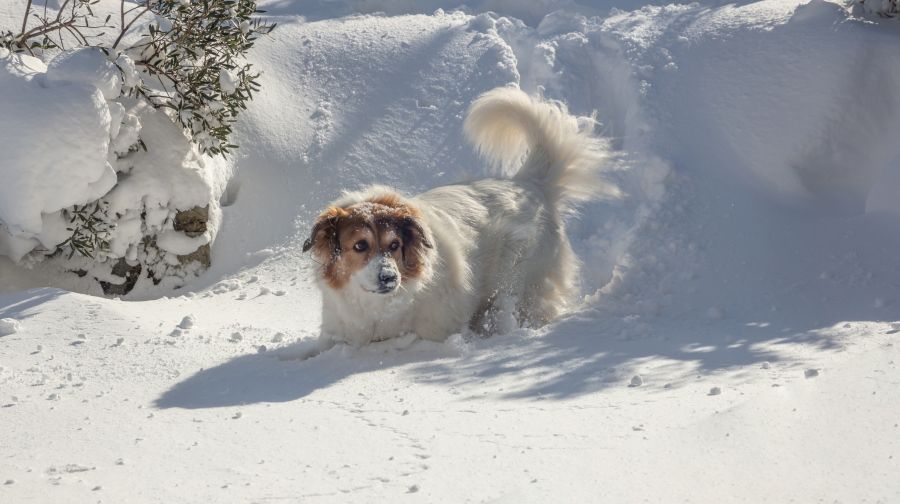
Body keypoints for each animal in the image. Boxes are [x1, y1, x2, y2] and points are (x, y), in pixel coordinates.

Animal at [302, 86, 620, 346]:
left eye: (394, 245)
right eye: (359, 246)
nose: (389, 277)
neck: (380, 310)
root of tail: (529, 183)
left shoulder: (436, 329)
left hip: (516, 276)